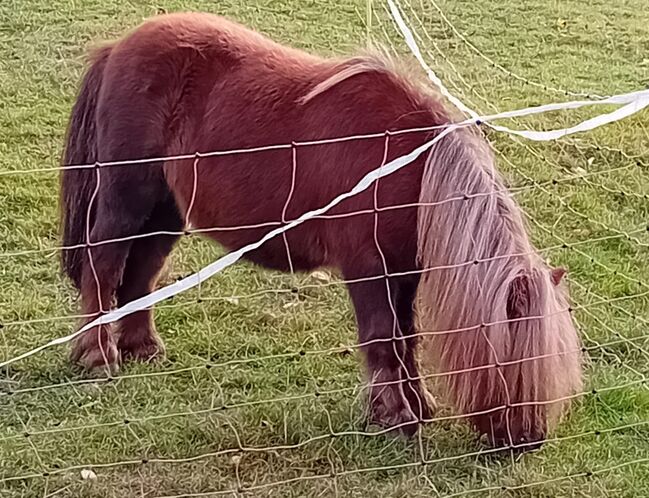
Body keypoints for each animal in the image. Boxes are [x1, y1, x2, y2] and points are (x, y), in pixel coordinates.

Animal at [58, 11, 580, 450]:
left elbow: (406, 337)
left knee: (141, 274)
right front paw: (394, 417)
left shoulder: (403, 270)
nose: (528, 440)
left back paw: (141, 348)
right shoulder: (368, 268)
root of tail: (117, 47)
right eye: (517, 363)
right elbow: (382, 336)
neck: (408, 164)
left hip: (166, 212)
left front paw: (417, 405)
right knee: (104, 266)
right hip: (128, 199)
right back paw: (99, 355)